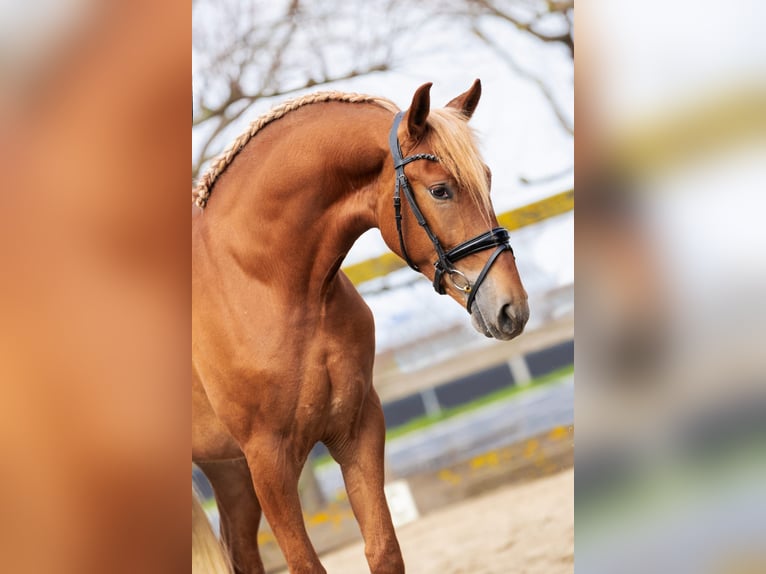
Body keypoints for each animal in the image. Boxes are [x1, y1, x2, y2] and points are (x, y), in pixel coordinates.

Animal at [190, 82, 536, 574]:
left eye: (486, 180)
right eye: (440, 190)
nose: (512, 309)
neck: (265, 281)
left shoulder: (357, 430)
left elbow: (385, 550)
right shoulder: (268, 460)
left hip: (228, 470)